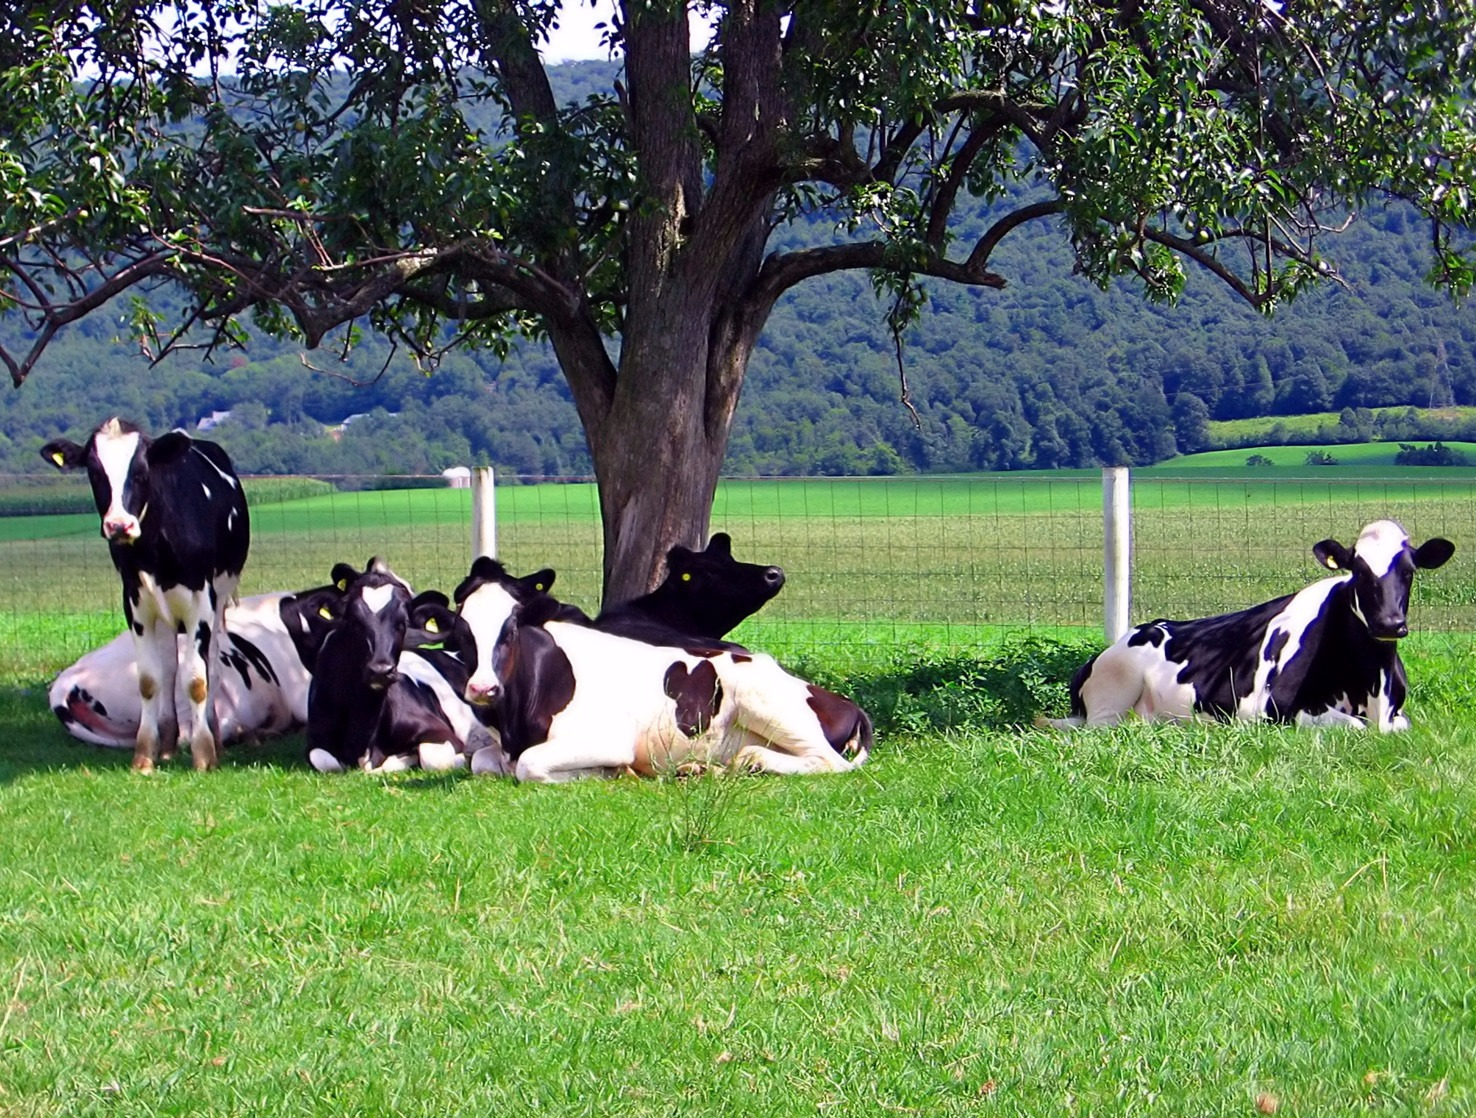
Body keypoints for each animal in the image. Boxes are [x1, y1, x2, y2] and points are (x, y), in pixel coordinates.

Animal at [42, 418, 250, 771]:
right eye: (94, 472)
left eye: (140, 472)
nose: (118, 525)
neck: (157, 547)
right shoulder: (135, 603)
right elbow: (151, 680)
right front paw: (145, 756)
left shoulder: (200, 604)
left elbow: (197, 680)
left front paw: (203, 755)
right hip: (163, 614)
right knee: (169, 668)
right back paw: (166, 744)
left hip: (219, 597)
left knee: (210, 665)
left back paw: (213, 740)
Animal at [455, 585, 872, 783]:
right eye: (460, 634)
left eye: (509, 631)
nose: (482, 689)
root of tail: (847, 702)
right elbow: (481, 761)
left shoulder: (606, 739)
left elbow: (529, 765)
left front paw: (612, 772)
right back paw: (701, 770)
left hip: (763, 700)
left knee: (829, 761)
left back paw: (752, 760)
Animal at [1050, 520, 1455, 732]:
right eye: (1357, 570)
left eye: (1409, 571)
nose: (1389, 623)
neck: (1372, 684)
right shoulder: (1278, 710)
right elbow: (1356, 728)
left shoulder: (1396, 715)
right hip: (1109, 703)